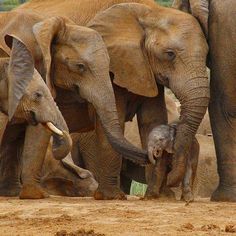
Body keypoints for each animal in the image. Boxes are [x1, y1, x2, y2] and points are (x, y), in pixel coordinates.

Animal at [18, 0, 210, 199]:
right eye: (170, 54)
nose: (155, 154)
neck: (150, 11)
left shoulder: (144, 69)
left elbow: (152, 118)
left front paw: (158, 196)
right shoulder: (113, 65)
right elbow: (112, 119)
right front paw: (112, 196)